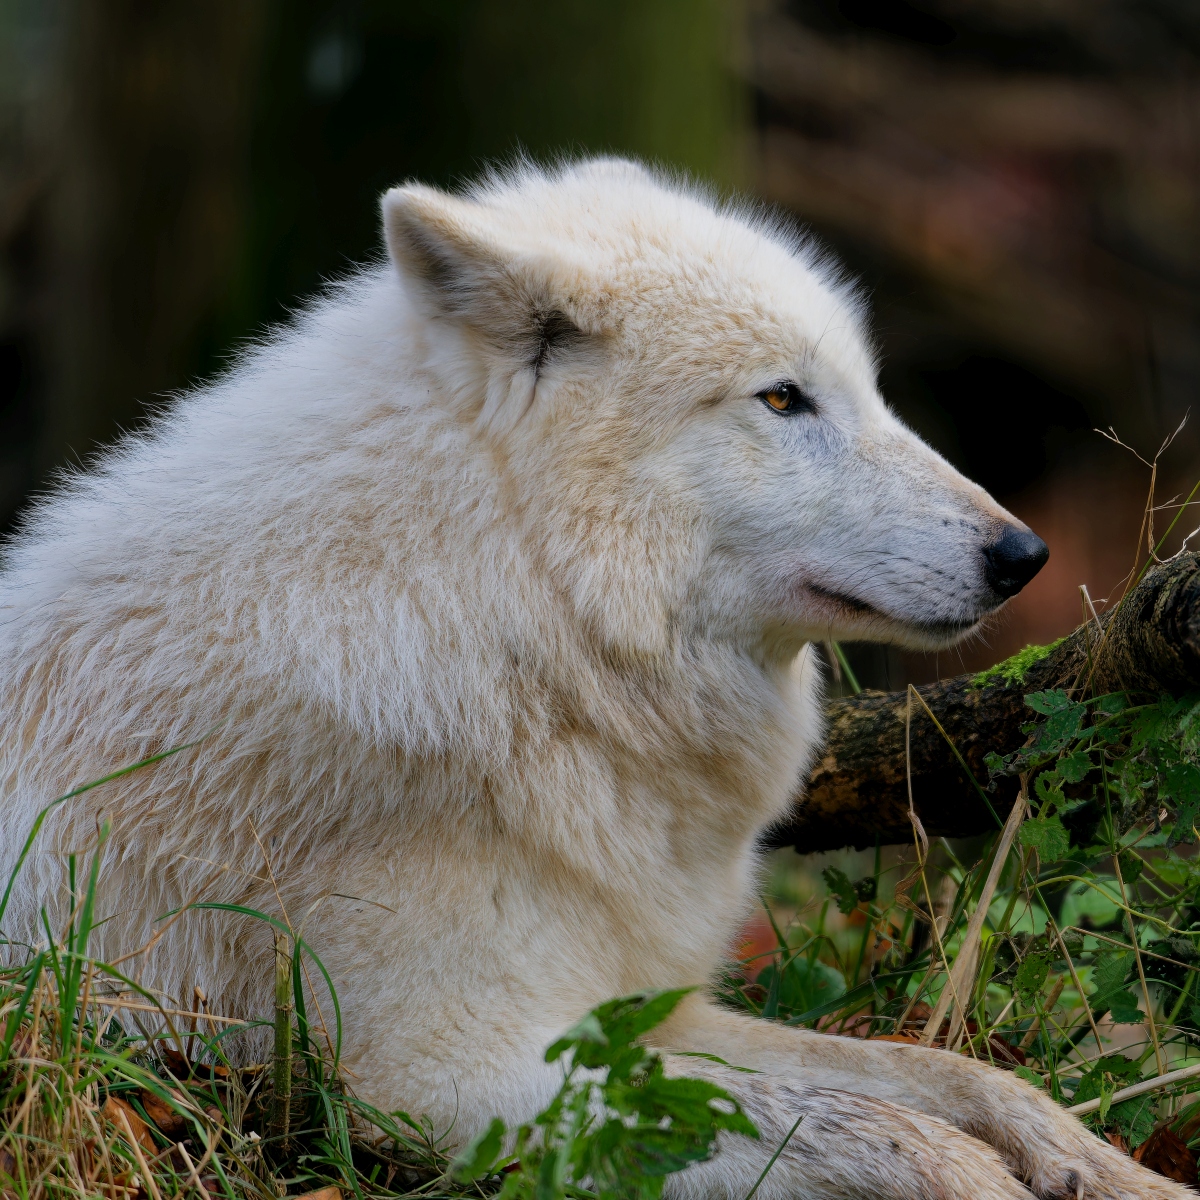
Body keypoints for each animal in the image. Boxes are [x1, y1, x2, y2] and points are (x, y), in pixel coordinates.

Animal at [0, 159, 1178, 1199]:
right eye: (783, 399)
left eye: (870, 392)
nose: (1023, 554)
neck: (510, 611)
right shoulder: (436, 1079)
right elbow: (877, 1128)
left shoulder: (644, 1009)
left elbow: (944, 1075)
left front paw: (1120, 1172)